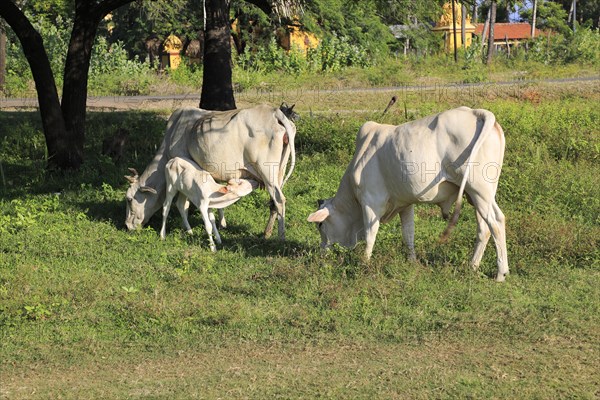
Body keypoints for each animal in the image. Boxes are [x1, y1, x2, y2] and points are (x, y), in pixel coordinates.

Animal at [125, 104, 298, 239]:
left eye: (129, 199)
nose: (127, 226)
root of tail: (274, 111)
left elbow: (184, 204)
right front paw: (222, 224)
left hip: (267, 171)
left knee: (279, 200)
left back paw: (281, 238)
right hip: (279, 172)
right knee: (273, 204)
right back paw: (267, 233)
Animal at [308, 106, 508, 282]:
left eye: (320, 225)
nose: (322, 251)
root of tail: (475, 113)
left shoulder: (371, 201)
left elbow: (370, 234)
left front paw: (364, 263)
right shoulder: (405, 203)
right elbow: (408, 233)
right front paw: (412, 261)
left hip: (479, 190)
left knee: (496, 222)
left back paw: (500, 273)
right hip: (479, 195)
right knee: (484, 228)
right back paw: (473, 266)